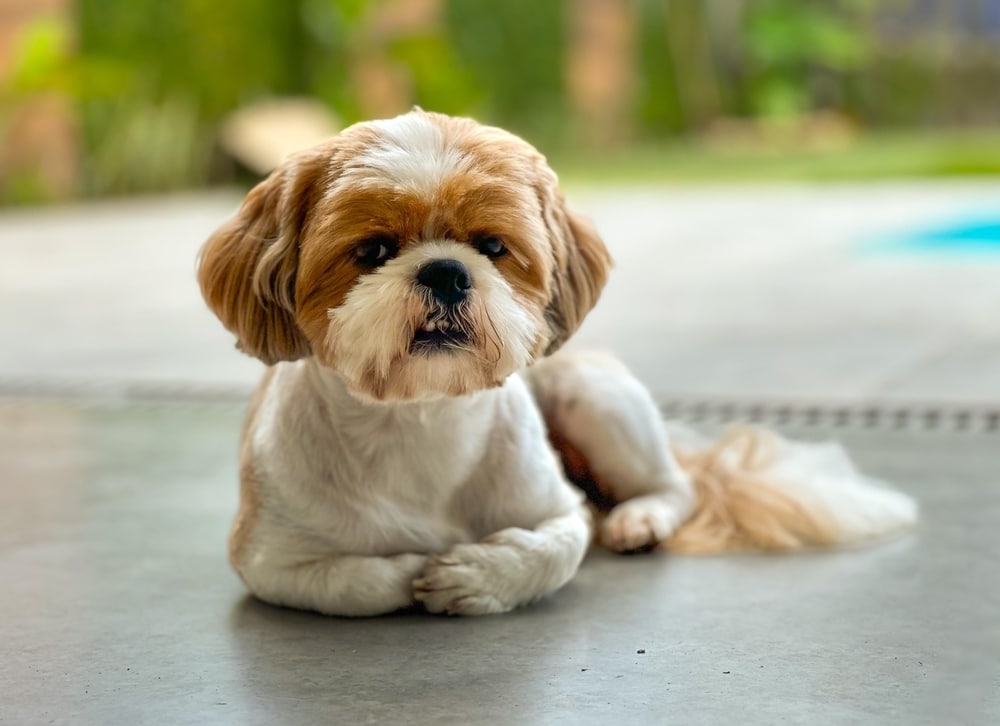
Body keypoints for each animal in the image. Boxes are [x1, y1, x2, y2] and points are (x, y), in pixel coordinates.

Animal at [195, 109, 916, 620]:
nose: (446, 271)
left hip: (588, 392)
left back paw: (639, 518)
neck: (420, 422)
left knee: (675, 486)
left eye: (492, 246)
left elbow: (557, 546)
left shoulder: (558, 509)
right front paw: (413, 567)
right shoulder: (268, 560)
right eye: (371, 250)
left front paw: (476, 577)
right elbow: (357, 581)